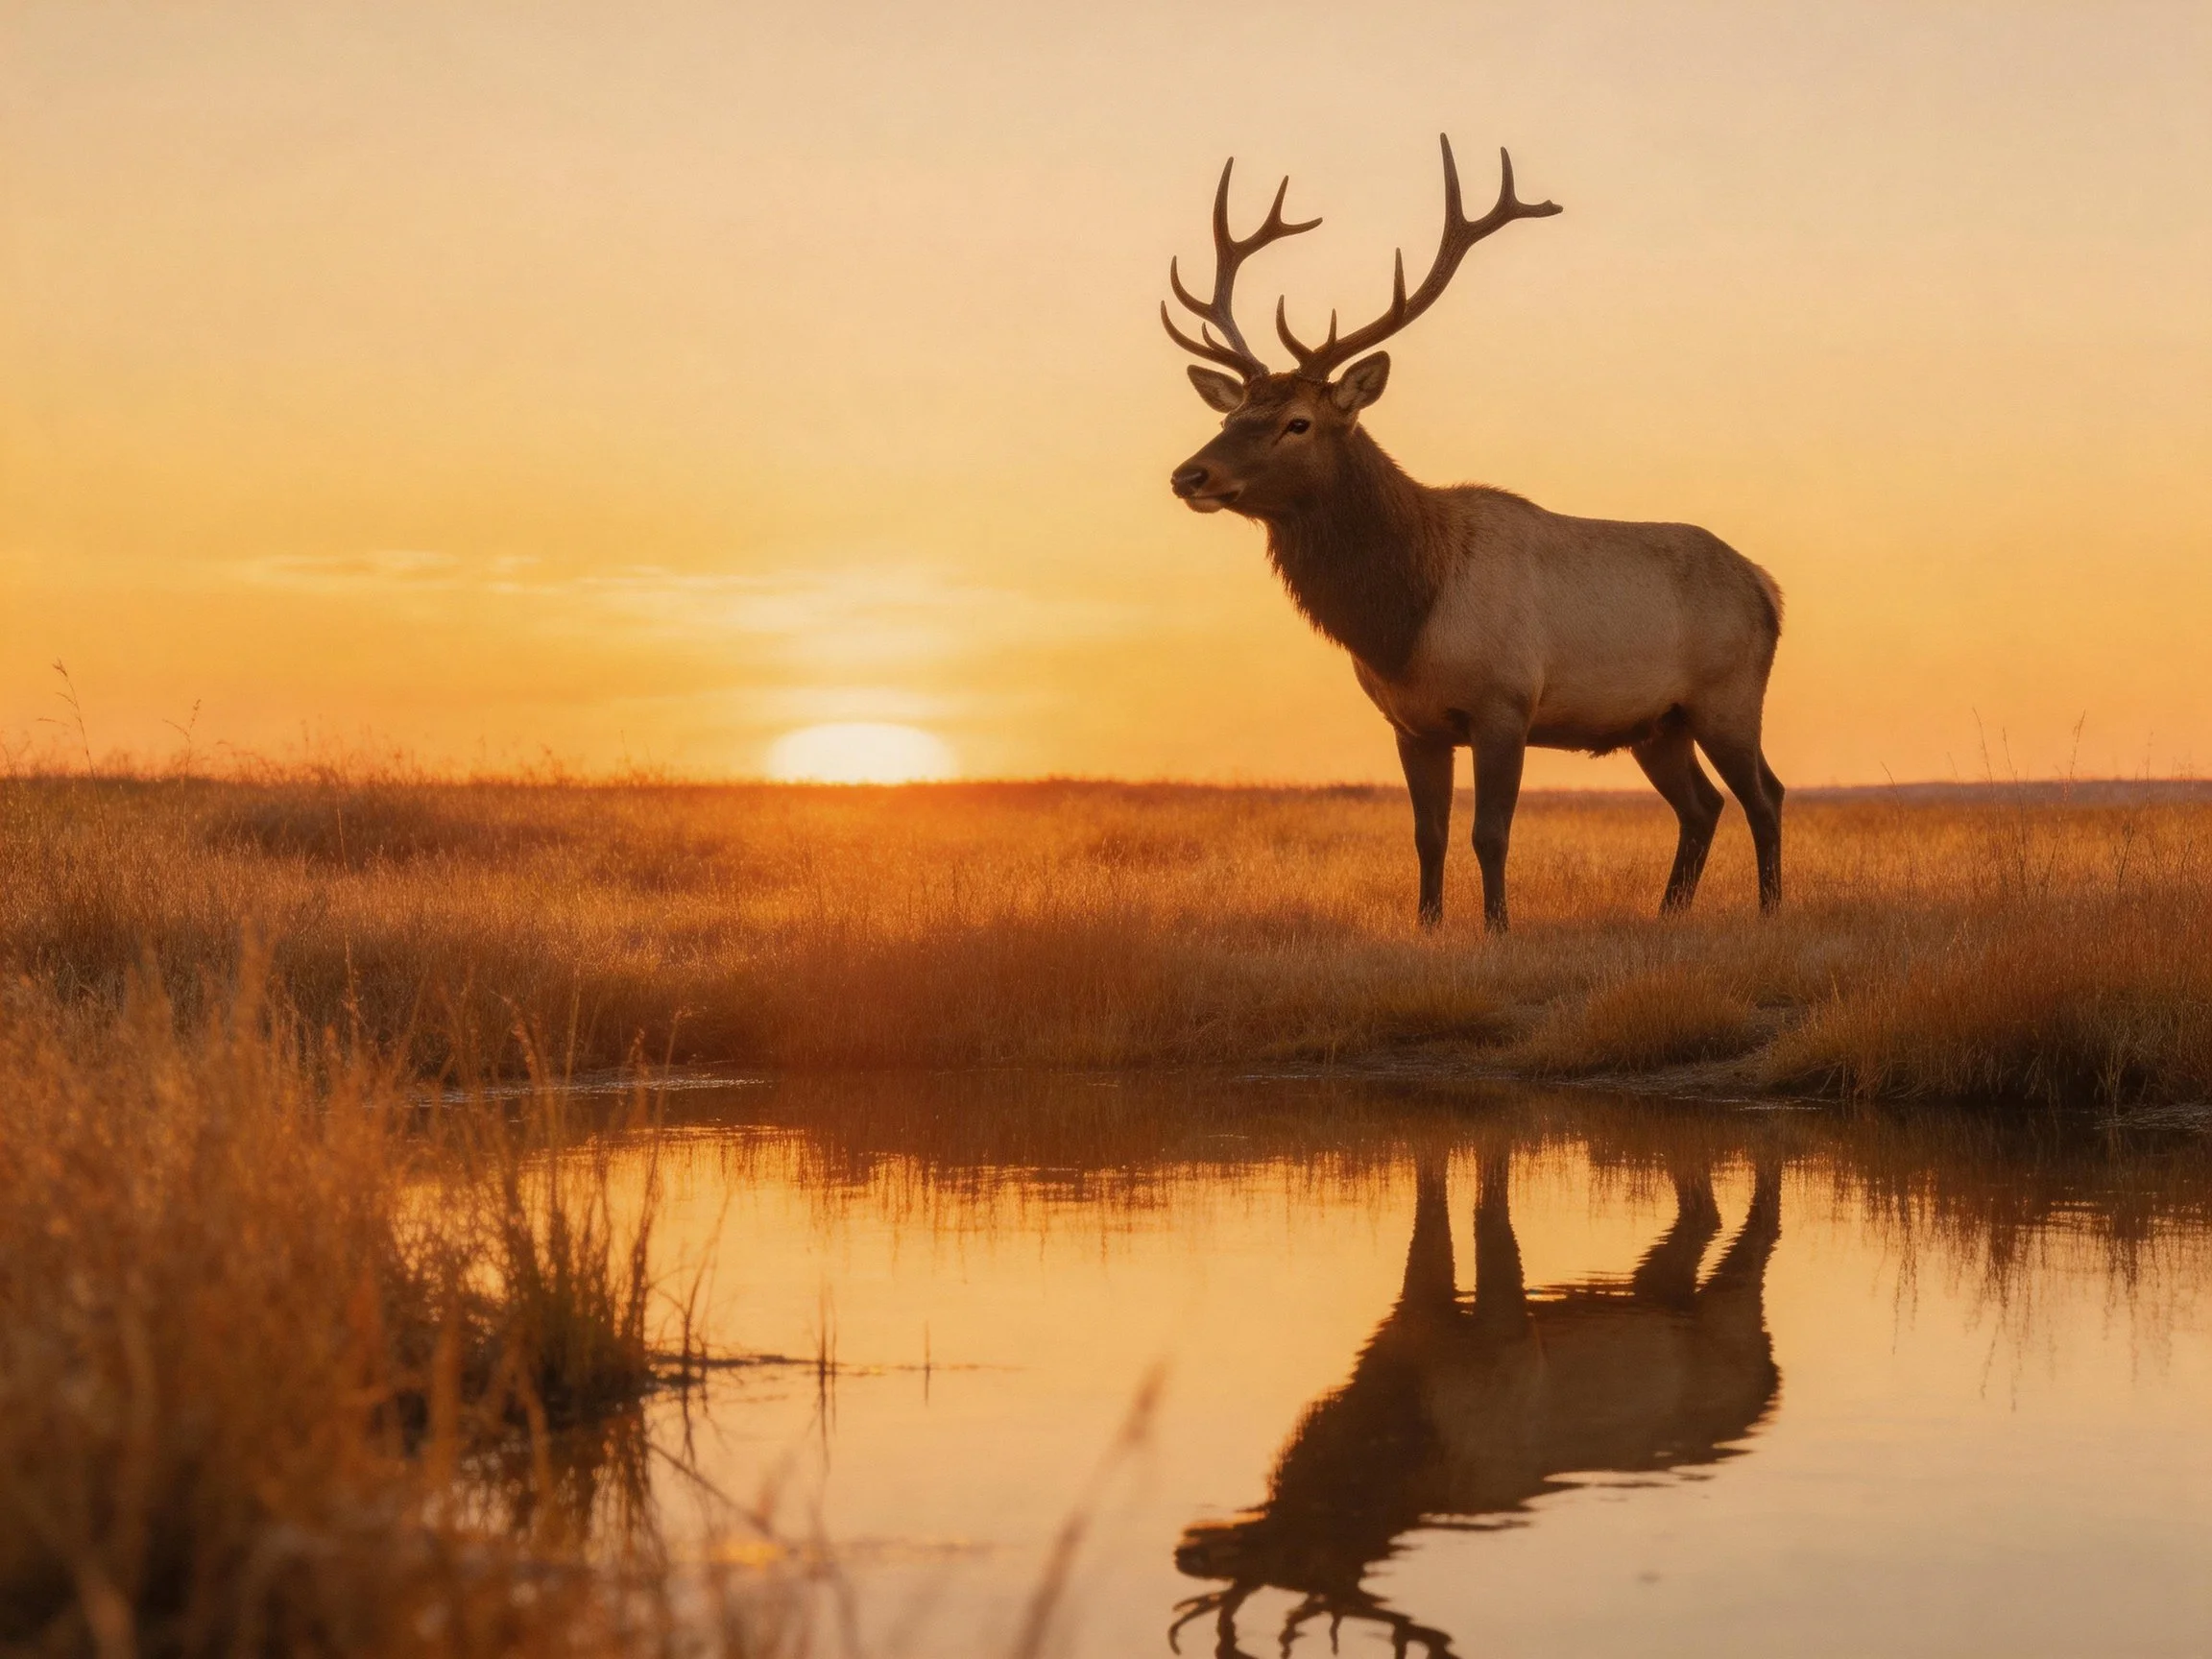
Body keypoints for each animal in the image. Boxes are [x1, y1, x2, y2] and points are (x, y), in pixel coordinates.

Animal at [1163, 137, 1786, 930]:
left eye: (1296, 423)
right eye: (1228, 415)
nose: (1190, 475)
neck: (1405, 622)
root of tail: (1767, 588)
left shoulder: (1505, 700)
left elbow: (1490, 832)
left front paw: (1497, 928)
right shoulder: (1412, 724)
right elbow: (1427, 834)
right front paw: (1428, 925)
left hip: (1728, 692)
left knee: (1764, 794)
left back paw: (1769, 910)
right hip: (1658, 722)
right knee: (1702, 805)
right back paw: (1668, 913)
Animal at [1170, 1150, 1784, 1658]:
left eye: (1294, 1554)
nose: (1188, 1554)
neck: (1404, 1416)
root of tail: (1772, 1386)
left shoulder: (1505, 1337)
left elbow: (1488, 1211)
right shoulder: (1417, 1315)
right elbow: (1432, 1203)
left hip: (1729, 1313)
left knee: (1756, 1232)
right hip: (1659, 1291)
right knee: (1702, 1216)